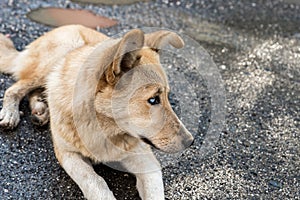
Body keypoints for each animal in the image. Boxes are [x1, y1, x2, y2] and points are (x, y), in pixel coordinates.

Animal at [0, 25, 193, 200]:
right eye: (153, 100)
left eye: (167, 96)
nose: (190, 142)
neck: (103, 127)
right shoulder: (67, 154)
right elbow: (94, 182)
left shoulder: (146, 161)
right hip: (51, 63)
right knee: (15, 88)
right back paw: (11, 112)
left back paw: (40, 108)